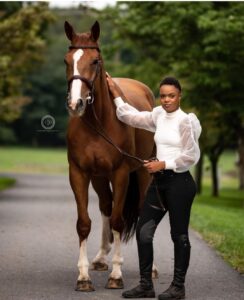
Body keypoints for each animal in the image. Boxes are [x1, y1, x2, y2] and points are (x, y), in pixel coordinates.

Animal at [64, 20, 156, 290]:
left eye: (95, 61)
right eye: (66, 60)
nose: (76, 104)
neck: (99, 123)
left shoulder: (121, 173)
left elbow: (118, 221)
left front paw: (116, 275)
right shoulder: (80, 173)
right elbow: (84, 223)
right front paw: (83, 277)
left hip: (144, 173)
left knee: (140, 212)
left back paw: (151, 268)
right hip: (99, 178)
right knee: (106, 206)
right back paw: (101, 258)